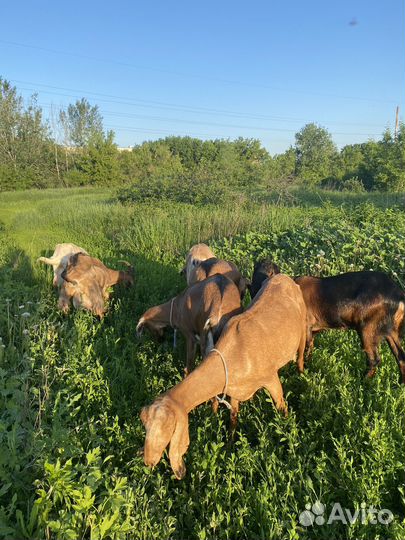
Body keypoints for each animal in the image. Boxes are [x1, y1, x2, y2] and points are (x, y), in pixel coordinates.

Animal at [140, 274, 304, 476]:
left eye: (168, 431)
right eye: (145, 427)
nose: (148, 461)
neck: (234, 353)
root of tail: (285, 277)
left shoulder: (271, 378)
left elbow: (282, 406)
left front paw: (289, 433)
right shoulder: (234, 390)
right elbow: (233, 417)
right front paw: (229, 444)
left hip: (303, 328)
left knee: (302, 353)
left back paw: (302, 374)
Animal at [249, 260, 404, 380]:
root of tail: (398, 293)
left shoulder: (306, 326)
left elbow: (305, 349)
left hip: (368, 328)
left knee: (374, 359)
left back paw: (362, 382)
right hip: (391, 330)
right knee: (400, 356)